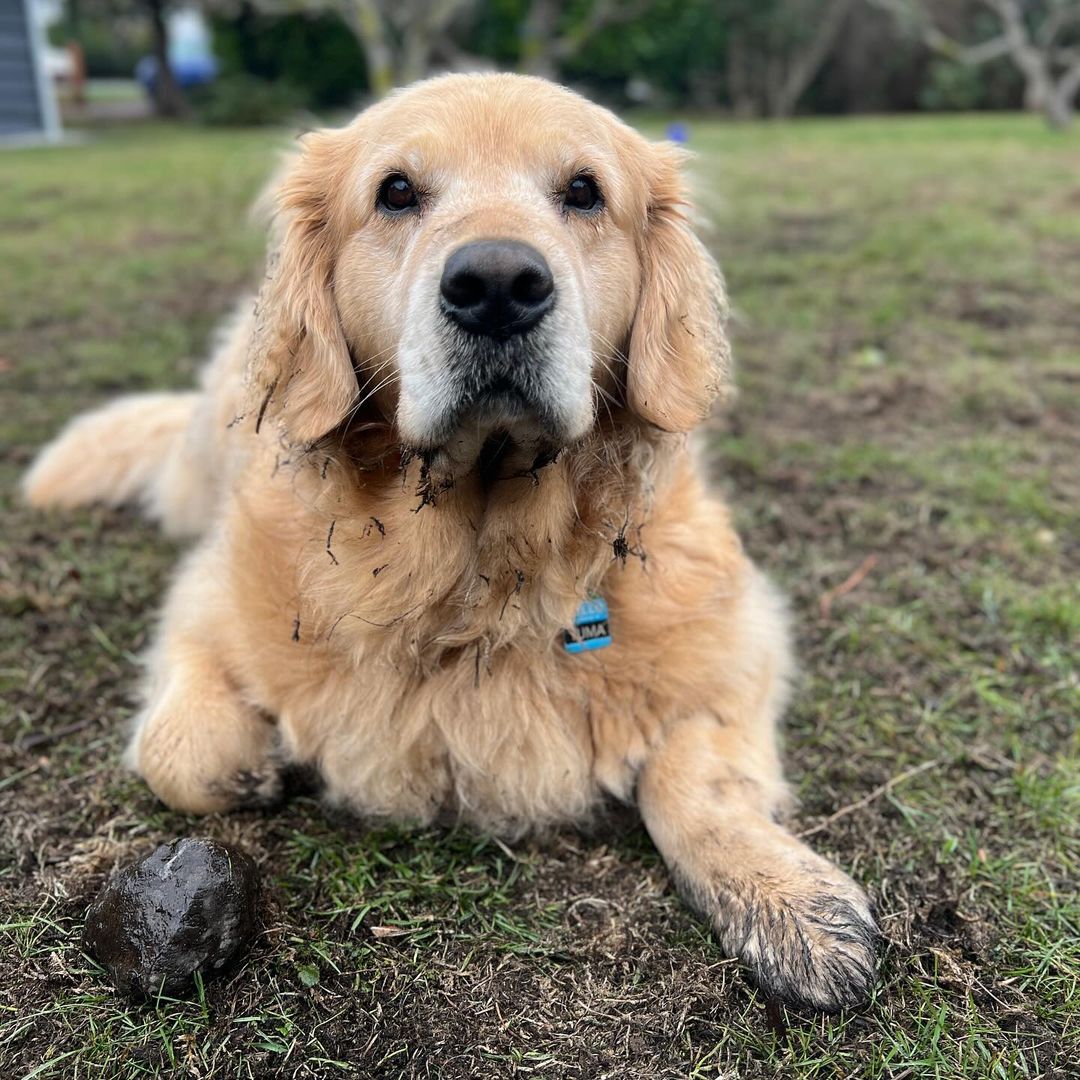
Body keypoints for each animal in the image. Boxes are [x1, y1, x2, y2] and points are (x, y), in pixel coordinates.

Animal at [21, 73, 876, 1010]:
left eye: (584, 191)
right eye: (396, 191)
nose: (498, 283)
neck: (478, 572)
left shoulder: (736, 633)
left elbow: (697, 778)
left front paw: (789, 899)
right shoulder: (207, 597)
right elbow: (183, 755)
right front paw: (255, 766)